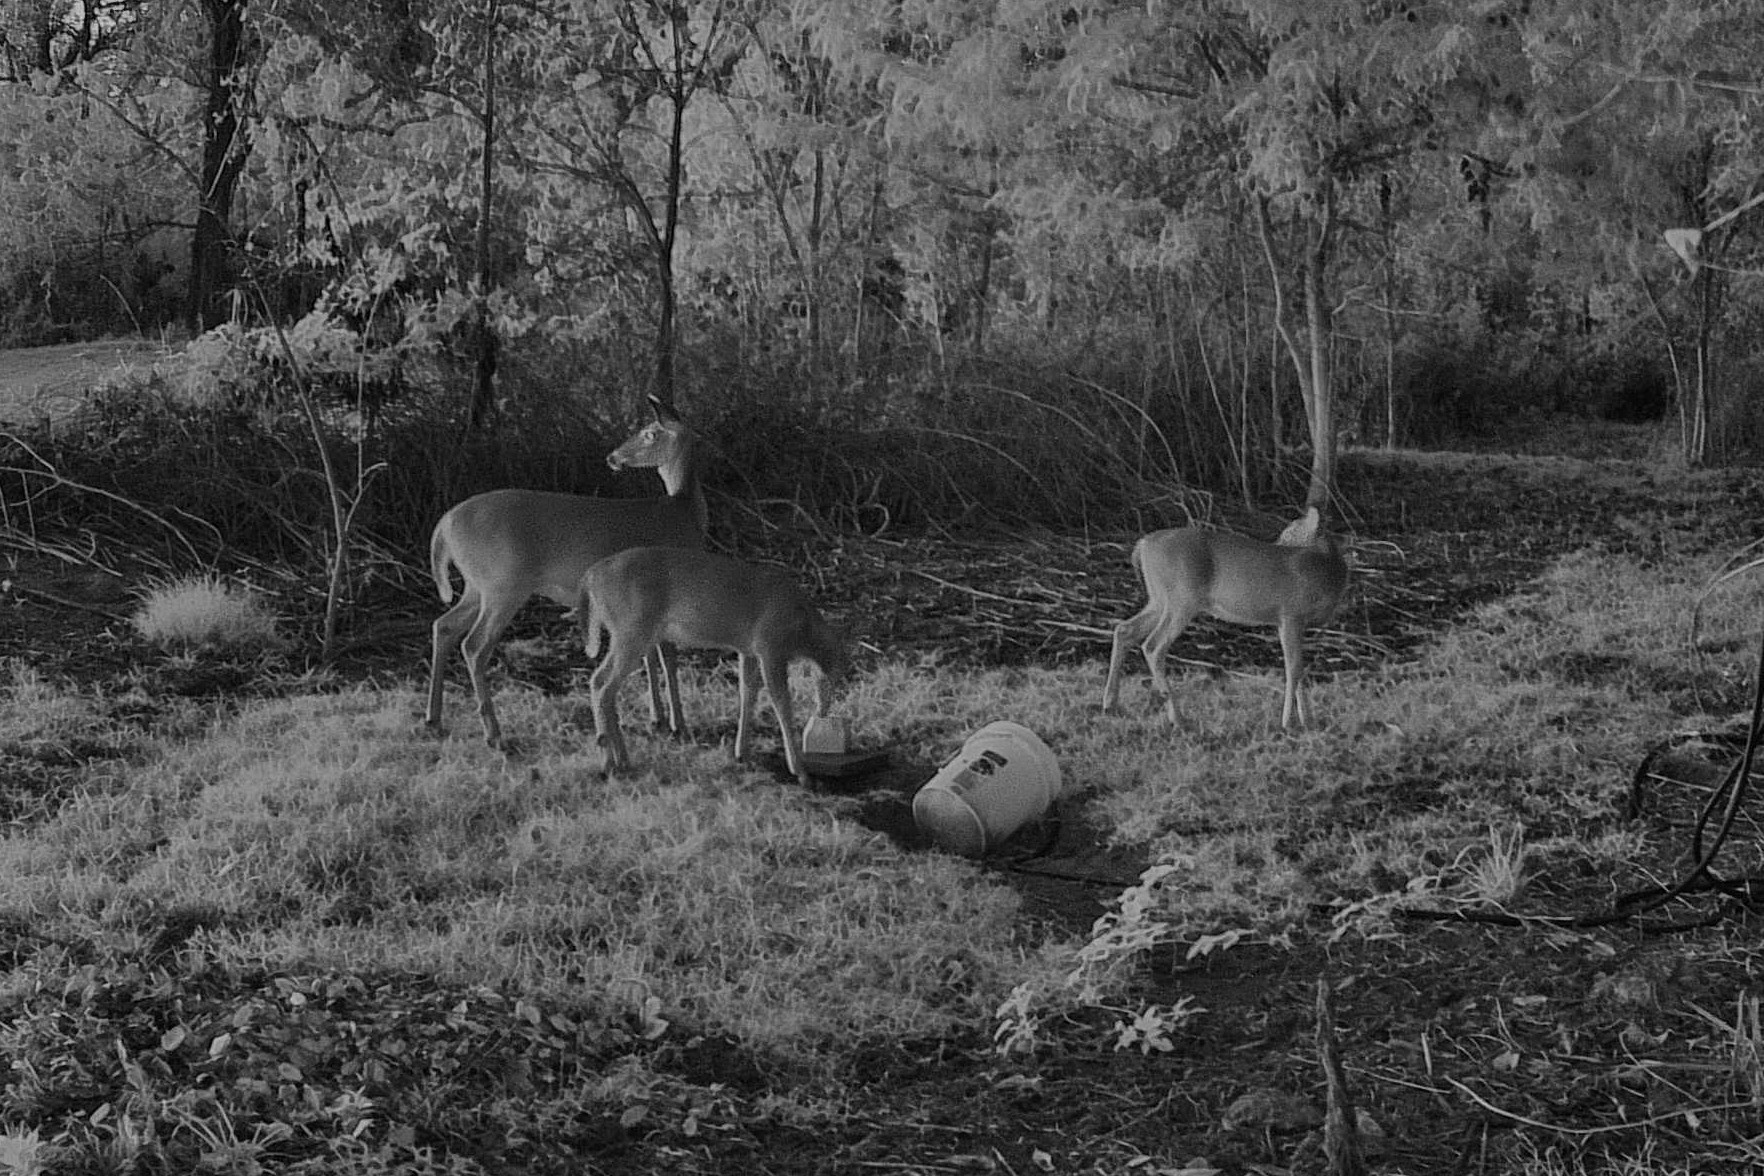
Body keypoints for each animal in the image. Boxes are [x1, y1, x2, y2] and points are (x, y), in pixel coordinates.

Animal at [424, 396, 707, 749]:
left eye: (648, 433)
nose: (613, 457)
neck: (684, 512)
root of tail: (444, 526)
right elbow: (667, 656)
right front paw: (677, 724)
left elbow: (651, 658)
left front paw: (657, 719)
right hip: (503, 585)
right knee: (474, 645)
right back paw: (494, 734)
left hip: (477, 585)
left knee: (444, 625)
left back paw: (434, 719)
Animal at [577, 546, 850, 786]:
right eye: (833, 678)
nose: (824, 711)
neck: (801, 630)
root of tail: (590, 577)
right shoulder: (770, 648)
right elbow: (781, 703)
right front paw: (801, 772)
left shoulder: (748, 650)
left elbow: (747, 692)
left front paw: (742, 752)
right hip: (632, 630)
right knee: (602, 684)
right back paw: (609, 763)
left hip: (626, 633)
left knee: (601, 683)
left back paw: (620, 759)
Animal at [1101, 506, 1348, 730]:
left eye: (1289, 532)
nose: (1276, 544)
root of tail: (1143, 544)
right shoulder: (1291, 614)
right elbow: (1294, 667)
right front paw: (1289, 722)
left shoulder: (1293, 622)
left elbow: (1301, 668)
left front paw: (1308, 720)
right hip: (1182, 598)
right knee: (1153, 646)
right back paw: (1178, 719)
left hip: (1159, 598)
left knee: (1124, 629)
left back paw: (1110, 704)